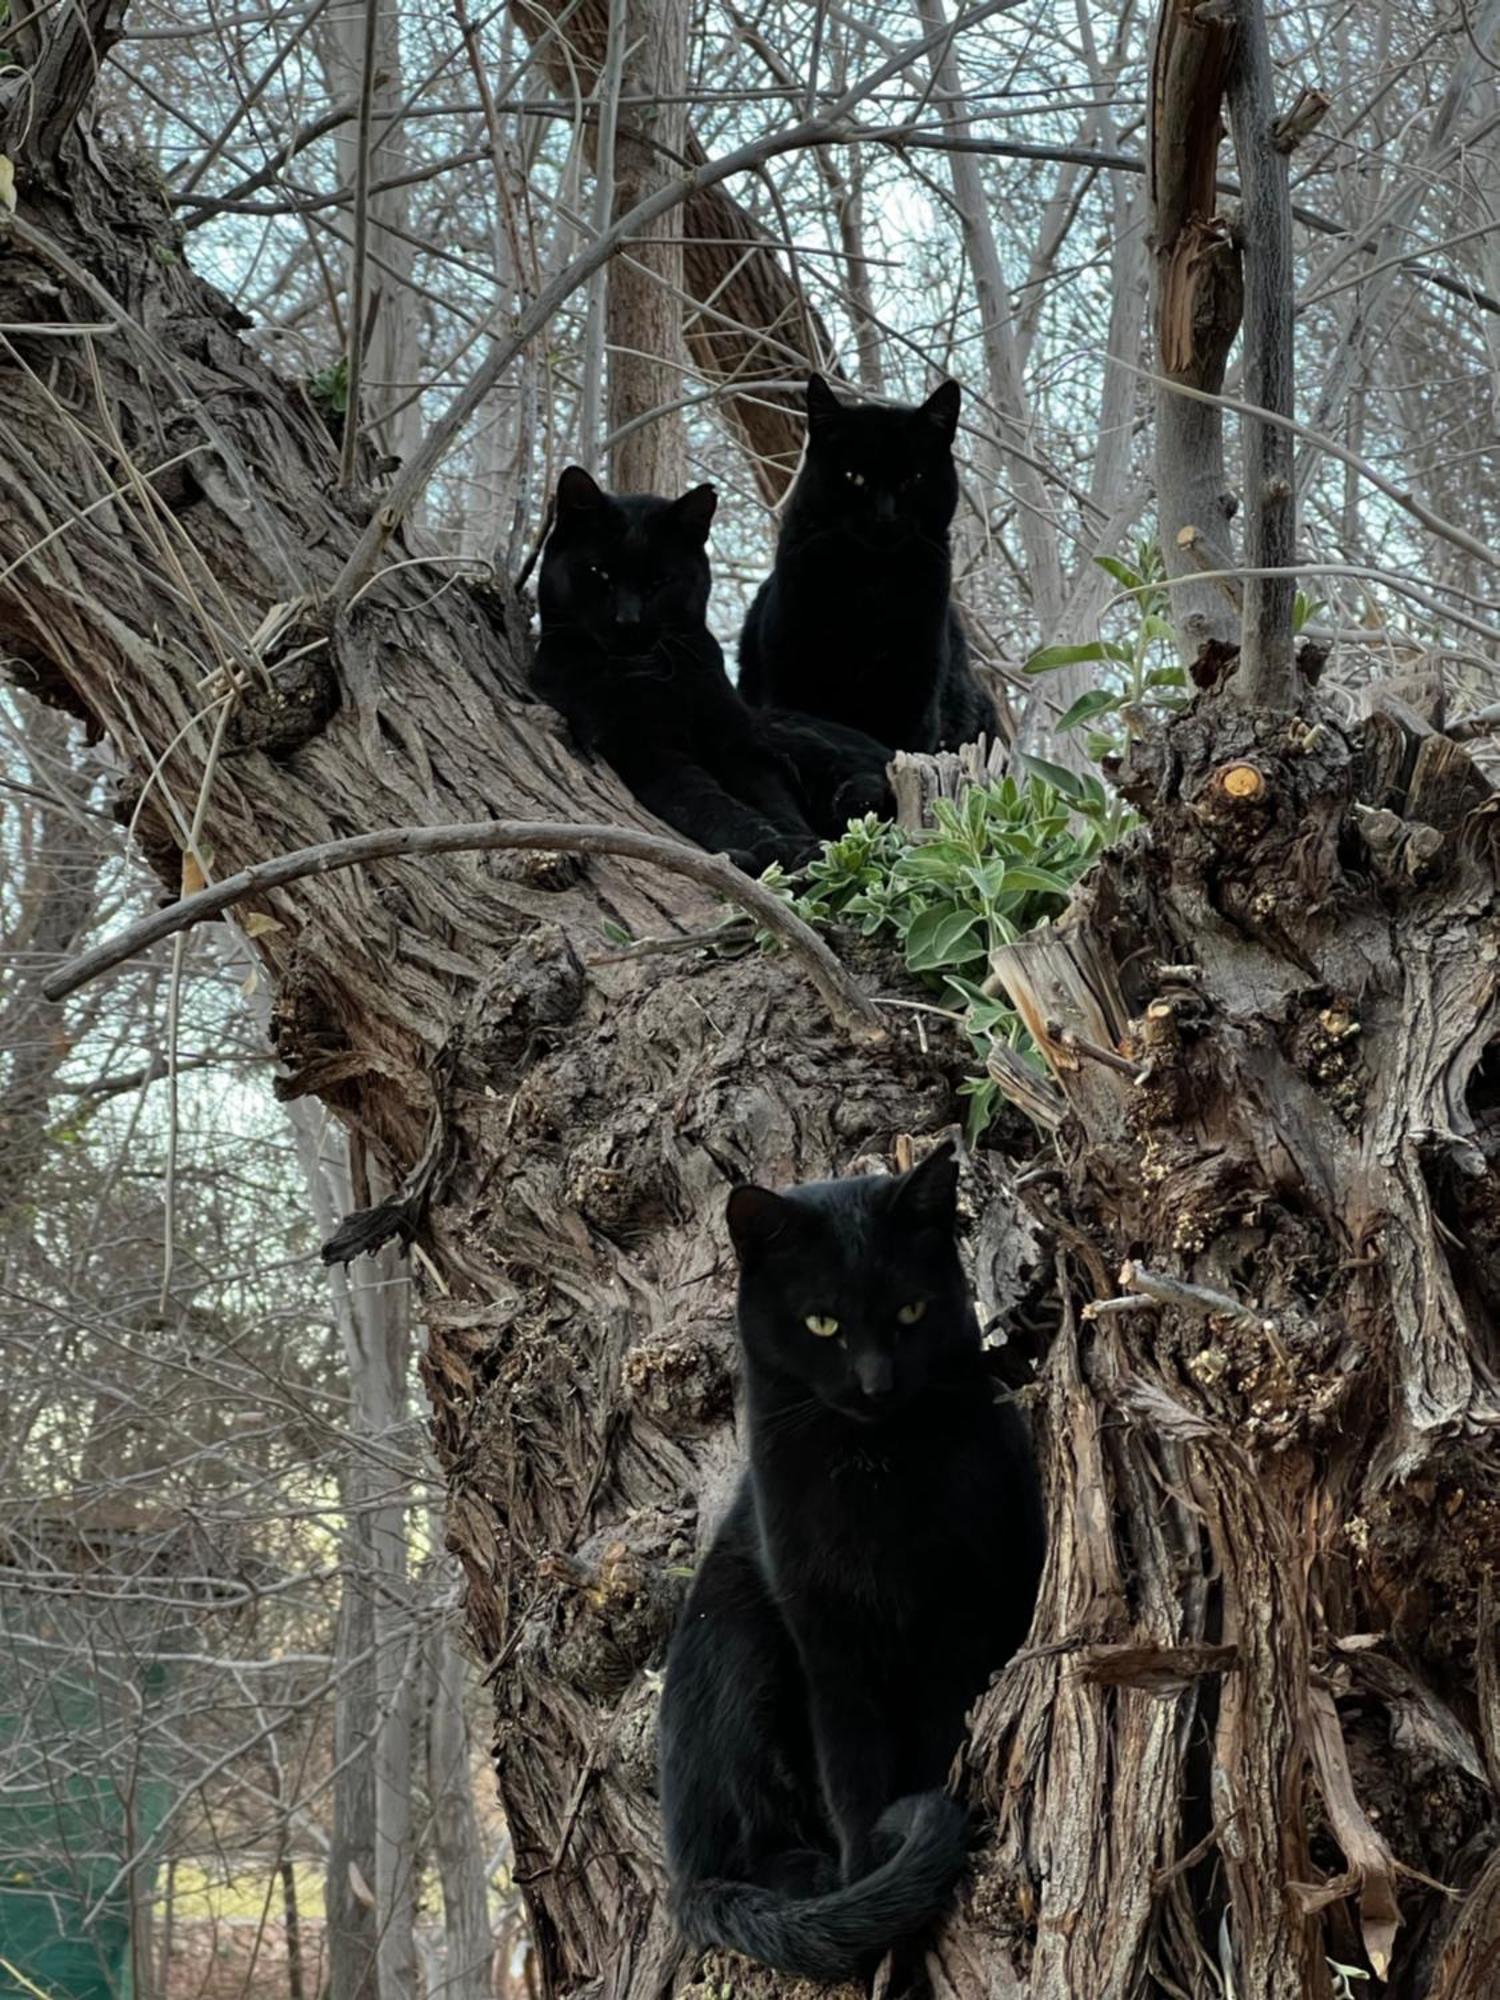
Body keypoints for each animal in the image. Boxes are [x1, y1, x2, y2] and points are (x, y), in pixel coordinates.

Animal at [536, 472, 900, 880]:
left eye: (661, 581)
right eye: (599, 573)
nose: (627, 620)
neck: (661, 679)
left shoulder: (741, 744)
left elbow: (775, 802)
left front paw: (804, 847)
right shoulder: (649, 756)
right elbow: (716, 807)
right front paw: (776, 848)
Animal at [656, 1136, 1048, 1976]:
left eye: (910, 1311)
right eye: (822, 1322)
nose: (875, 1382)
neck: (873, 1474)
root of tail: (680, 1876)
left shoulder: (959, 1618)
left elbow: (935, 1735)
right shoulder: (827, 1638)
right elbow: (853, 1770)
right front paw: (875, 1881)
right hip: (738, 1629)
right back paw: (818, 1881)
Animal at [740, 374, 1000, 752]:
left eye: (914, 478)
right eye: (853, 476)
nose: (884, 515)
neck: (870, 584)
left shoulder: (914, 696)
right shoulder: (793, 682)